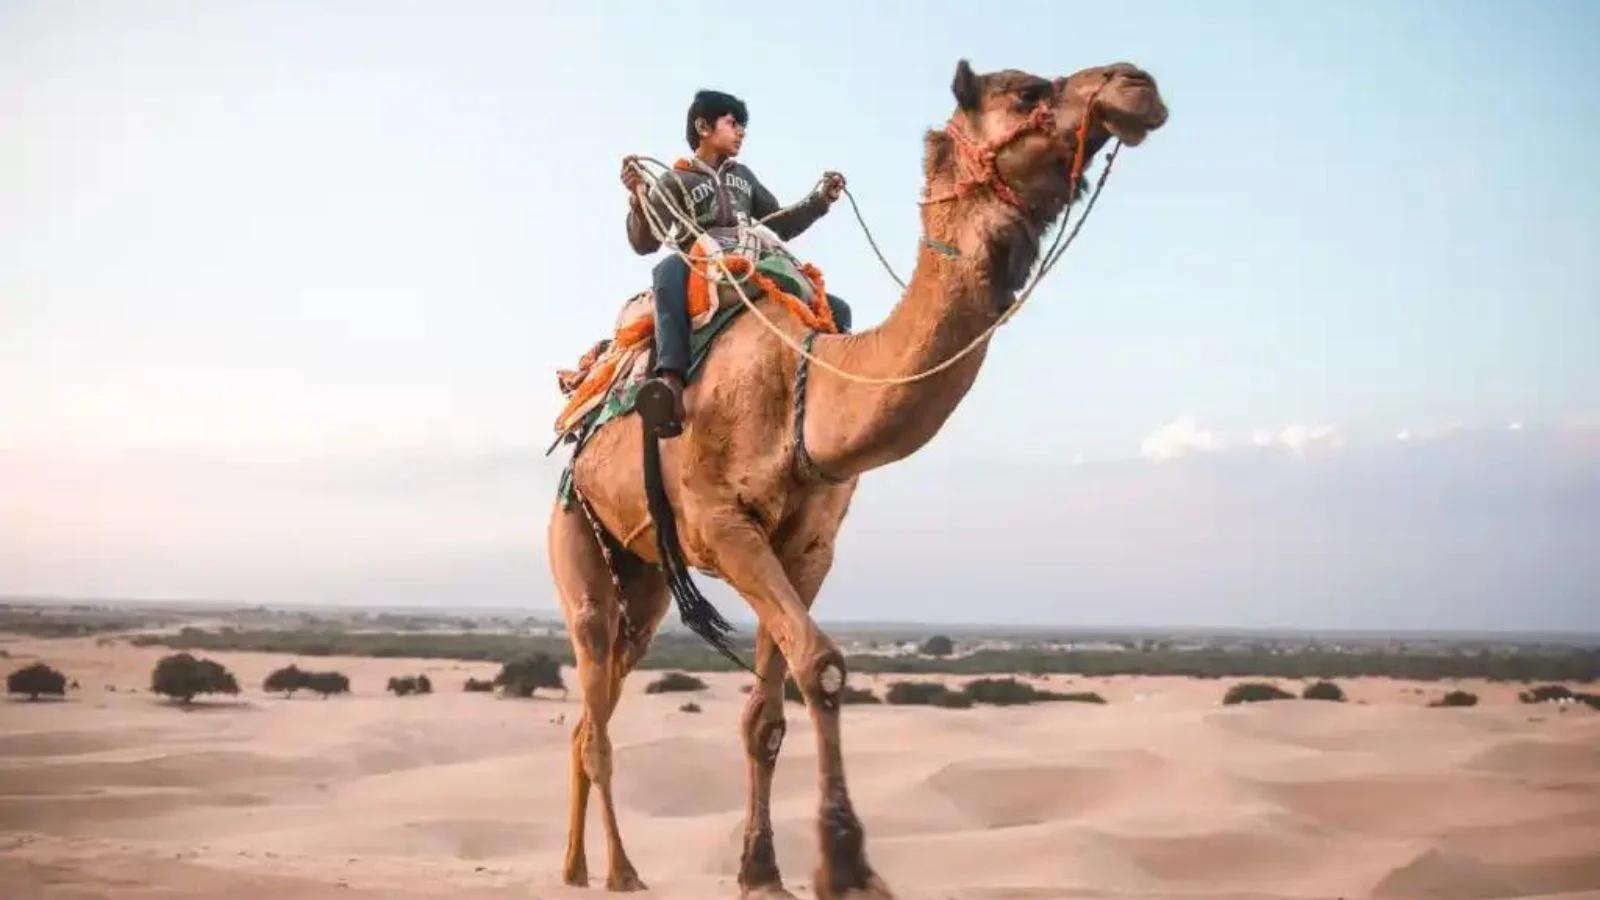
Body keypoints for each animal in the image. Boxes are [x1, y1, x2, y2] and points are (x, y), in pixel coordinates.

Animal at [547, 59, 1164, 890]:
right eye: (1026, 91)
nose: (1137, 83)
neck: (804, 387)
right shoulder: (722, 526)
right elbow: (824, 665)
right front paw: (845, 866)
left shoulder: (808, 547)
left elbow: (767, 716)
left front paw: (761, 869)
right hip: (575, 531)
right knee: (594, 695)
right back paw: (620, 872)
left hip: (644, 580)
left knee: (595, 710)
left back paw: (579, 866)